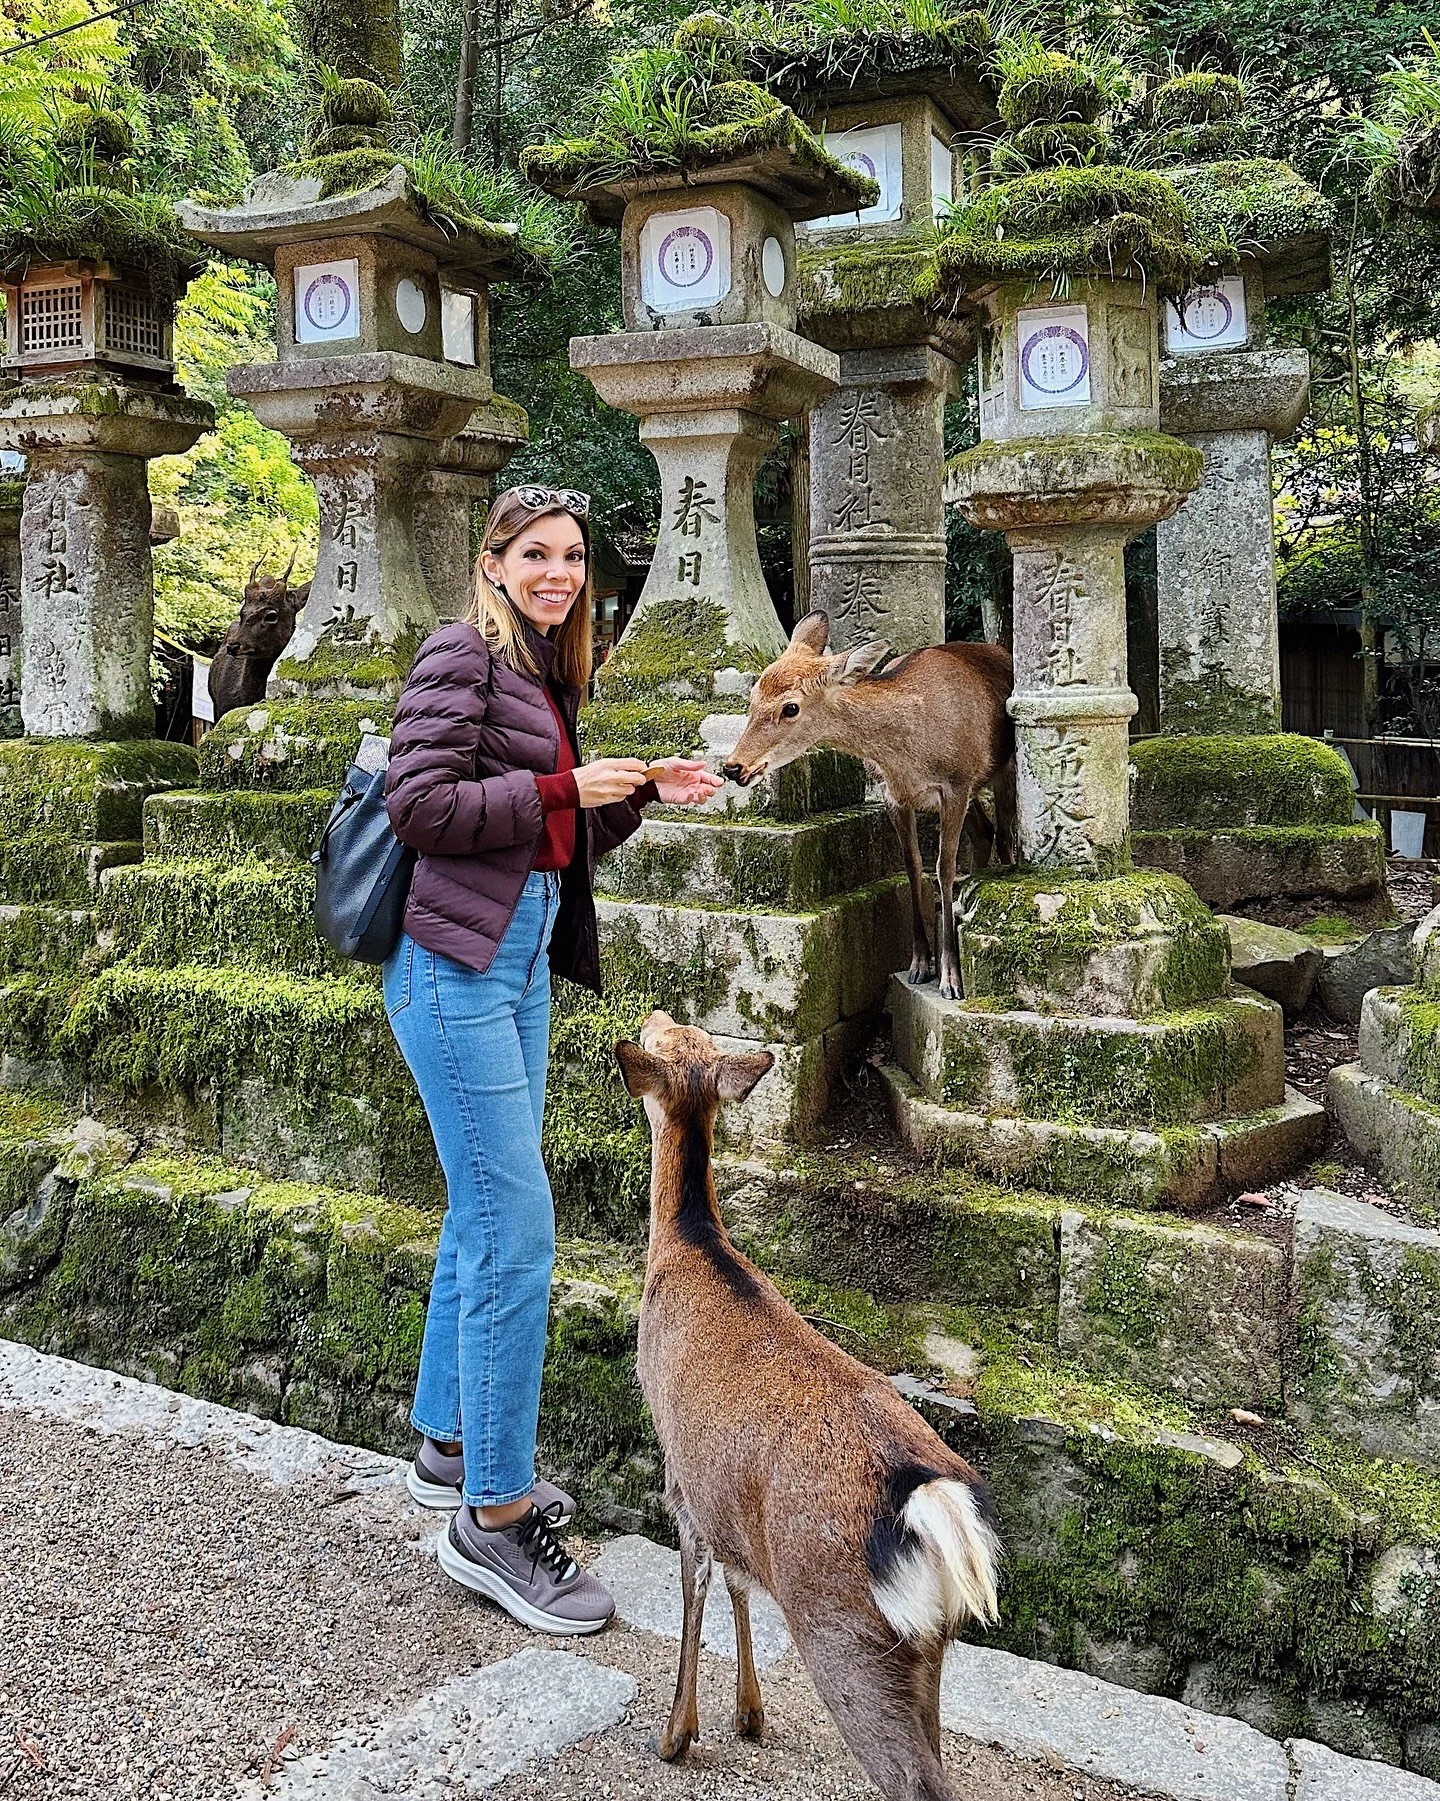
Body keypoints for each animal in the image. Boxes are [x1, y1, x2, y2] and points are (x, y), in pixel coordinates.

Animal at [616, 1011, 1002, 1801]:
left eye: (670, 1037)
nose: (652, 1016)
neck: (687, 1246)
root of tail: (931, 1502)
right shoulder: (727, 1497)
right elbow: (738, 1579)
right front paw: (749, 1713)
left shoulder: (680, 1470)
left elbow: (695, 1584)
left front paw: (677, 1733)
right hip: (927, 1647)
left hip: (841, 1630)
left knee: (917, 1781)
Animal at [723, 611, 1015, 1001]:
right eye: (753, 696)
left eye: (791, 707)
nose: (734, 767)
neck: (908, 756)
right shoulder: (895, 796)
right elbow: (913, 866)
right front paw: (920, 965)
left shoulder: (956, 783)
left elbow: (944, 868)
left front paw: (951, 978)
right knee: (985, 831)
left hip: (1001, 770)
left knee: (1005, 833)